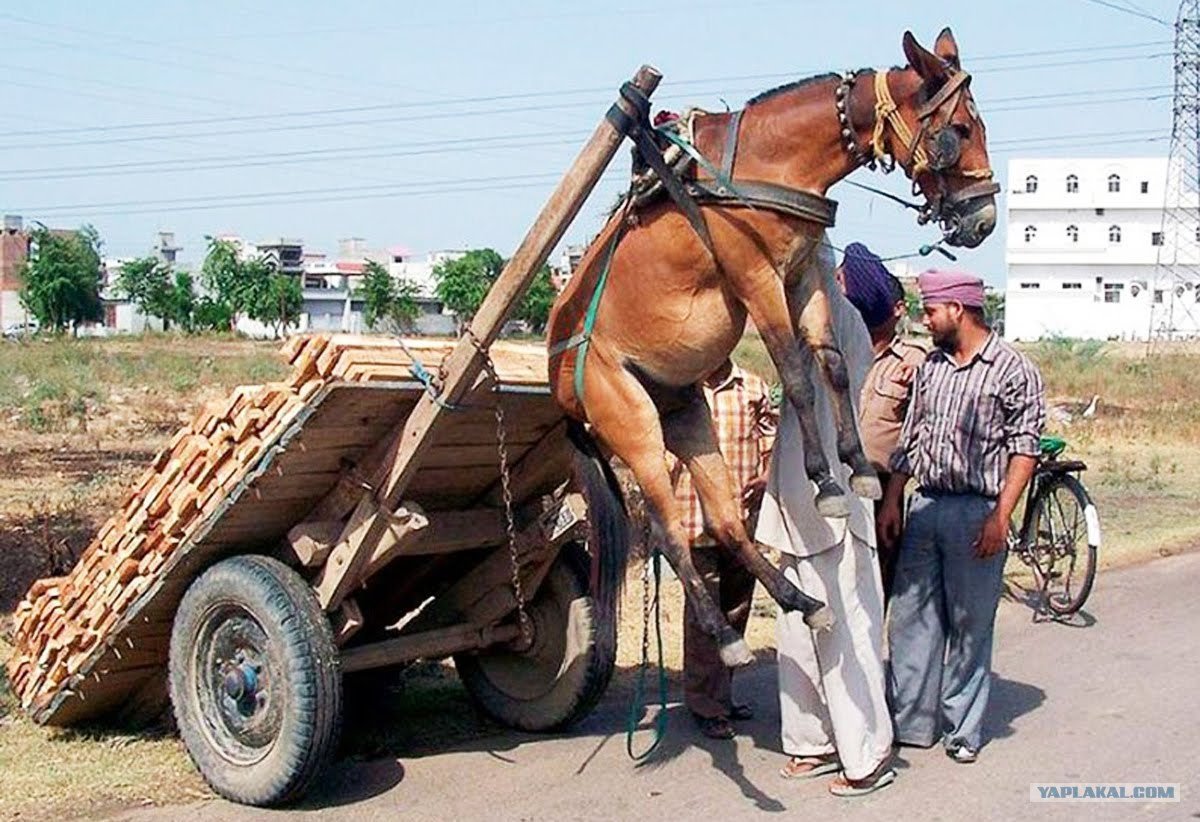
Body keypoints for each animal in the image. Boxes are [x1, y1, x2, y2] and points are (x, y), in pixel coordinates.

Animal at [549, 30, 998, 667]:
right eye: (956, 129)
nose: (983, 218)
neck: (769, 162)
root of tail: (561, 384)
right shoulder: (755, 277)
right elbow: (796, 373)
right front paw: (827, 484)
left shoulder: (803, 273)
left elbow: (833, 365)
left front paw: (859, 467)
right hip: (631, 424)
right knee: (667, 532)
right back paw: (725, 634)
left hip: (684, 414)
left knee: (726, 519)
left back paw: (802, 602)